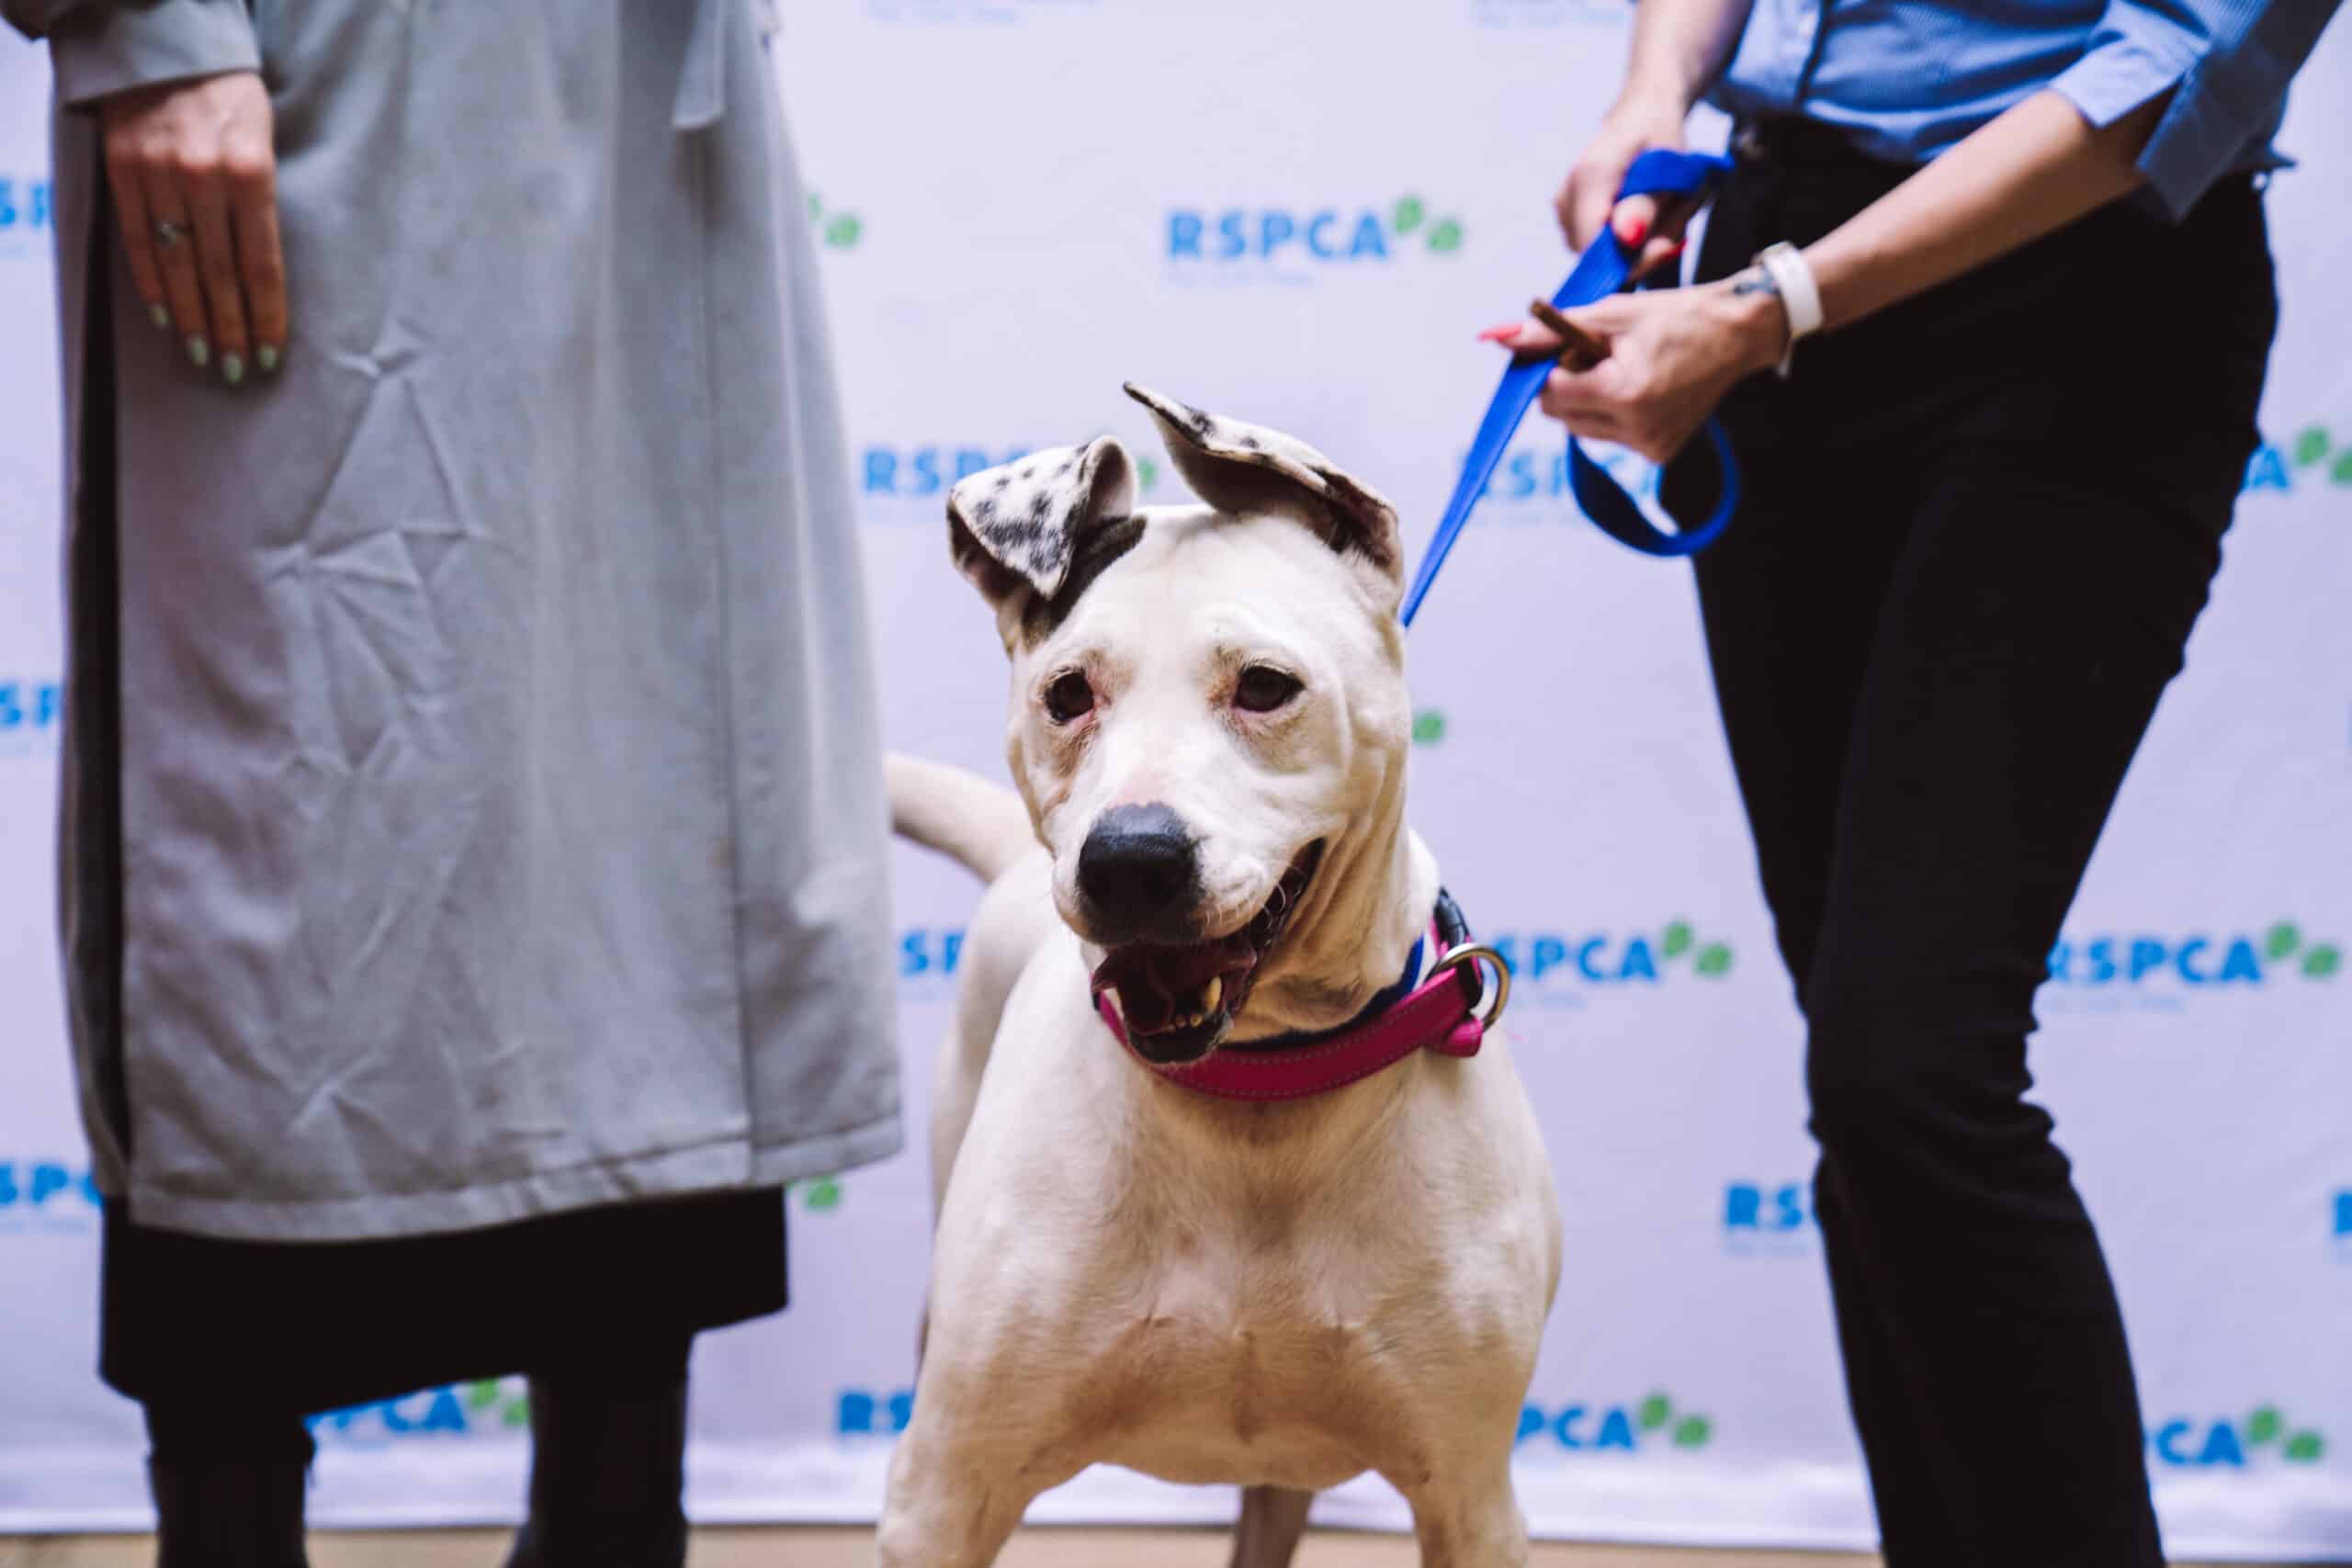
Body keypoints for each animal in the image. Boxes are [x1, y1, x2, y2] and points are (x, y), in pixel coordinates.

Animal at [878, 385, 1562, 1567]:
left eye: (1265, 686)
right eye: (1067, 693)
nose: (1129, 861)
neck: (1258, 1094)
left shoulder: (1472, 1499)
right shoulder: (941, 1492)